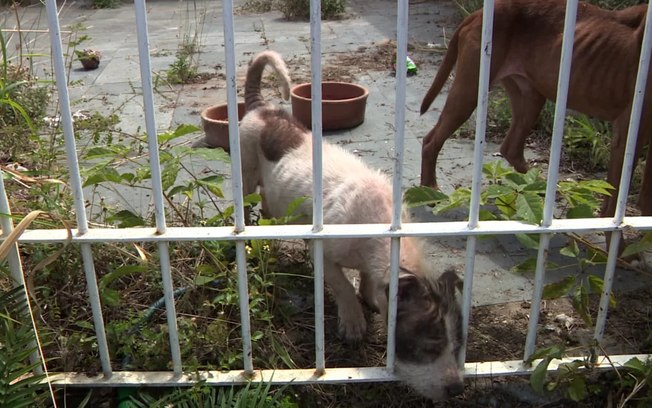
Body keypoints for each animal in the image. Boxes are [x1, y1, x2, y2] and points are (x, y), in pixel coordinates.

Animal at [237, 50, 465, 400]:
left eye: (457, 346)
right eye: (428, 346)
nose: (456, 389)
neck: (383, 233)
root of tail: (260, 108)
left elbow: (368, 280)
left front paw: (369, 296)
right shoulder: (324, 254)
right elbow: (342, 285)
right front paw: (355, 323)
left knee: (269, 204)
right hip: (246, 170)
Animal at [420, 0, 651, 220]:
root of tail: (478, 14)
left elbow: (644, 197)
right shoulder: (628, 130)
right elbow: (613, 203)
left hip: (531, 97)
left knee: (511, 148)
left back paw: (540, 186)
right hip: (469, 91)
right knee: (431, 141)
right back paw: (429, 188)